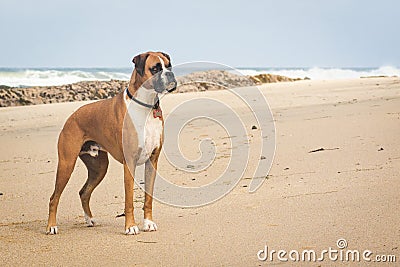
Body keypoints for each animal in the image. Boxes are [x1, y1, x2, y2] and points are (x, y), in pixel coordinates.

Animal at [45, 51, 177, 236]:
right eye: (155, 68)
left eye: (169, 66)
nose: (170, 74)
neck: (146, 106)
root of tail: (72, 116)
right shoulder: (130, 164)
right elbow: (129, 200)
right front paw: (130, 226)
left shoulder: (152, 162)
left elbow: (148, 198)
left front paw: (148, 223)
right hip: (66, 164)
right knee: (53, 198)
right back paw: (51, 226)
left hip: (99, 168)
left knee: (84, 192)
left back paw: (89, 220)